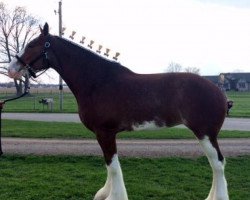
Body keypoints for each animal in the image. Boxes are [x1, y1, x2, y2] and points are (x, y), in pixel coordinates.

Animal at [7, 22, 229, 199]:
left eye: (31, 45)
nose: (11, 69)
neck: (97, 82)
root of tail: (218, 91)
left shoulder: (105, 133)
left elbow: (113, 166)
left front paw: (114, 196)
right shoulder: (105, 134)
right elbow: (109, 165)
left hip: (206, 133)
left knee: (217, 164)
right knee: (215, 164)